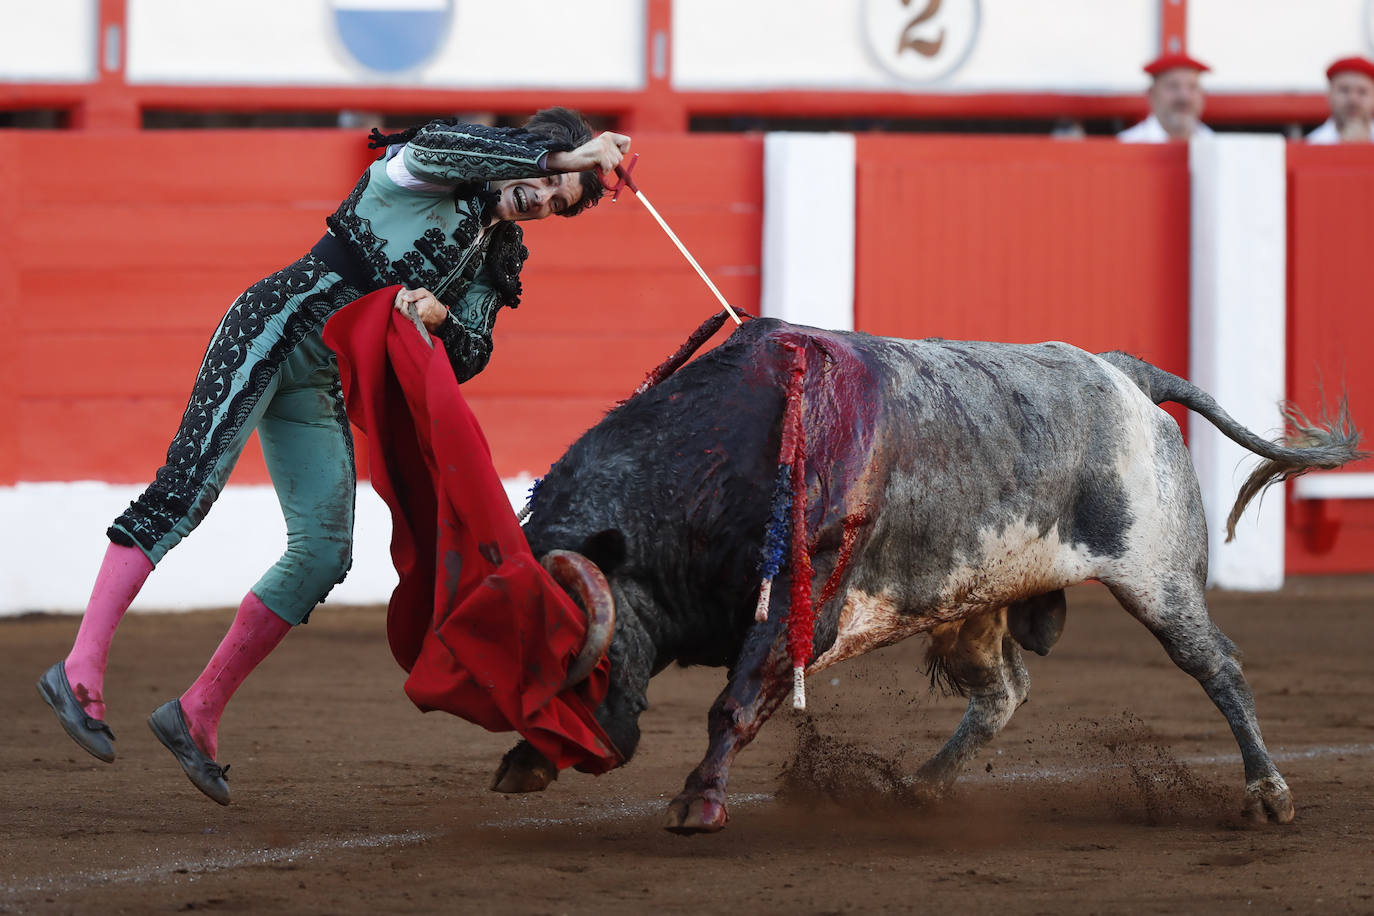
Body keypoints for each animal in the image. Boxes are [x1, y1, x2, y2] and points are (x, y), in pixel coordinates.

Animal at [489, 318, 1357, 834]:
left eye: (594, 650)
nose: (594, 747)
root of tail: (1123, 373)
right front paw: (525, 764)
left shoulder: (798, 616)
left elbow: (732, 703)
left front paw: (697, 801)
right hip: (975, 599)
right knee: (1003, 691)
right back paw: (921, 788)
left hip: (1159, 579)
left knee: (1216, 666)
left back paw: (1268, 794)